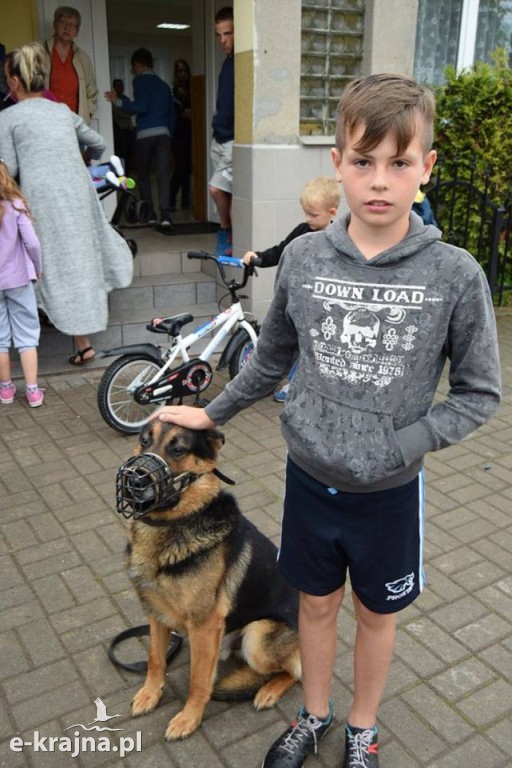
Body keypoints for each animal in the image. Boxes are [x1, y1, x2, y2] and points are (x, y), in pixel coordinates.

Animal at [116, 424, 300, 740]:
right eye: (144, 440)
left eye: (178, 449)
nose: (135, 479)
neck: (173, 525)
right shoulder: (156, 614)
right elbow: (155, 658)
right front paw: (150, 694)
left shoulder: (205, 625)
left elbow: (198, 679)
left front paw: (189, 718)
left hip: (258, 636)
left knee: (297, 671)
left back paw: (268, 691)